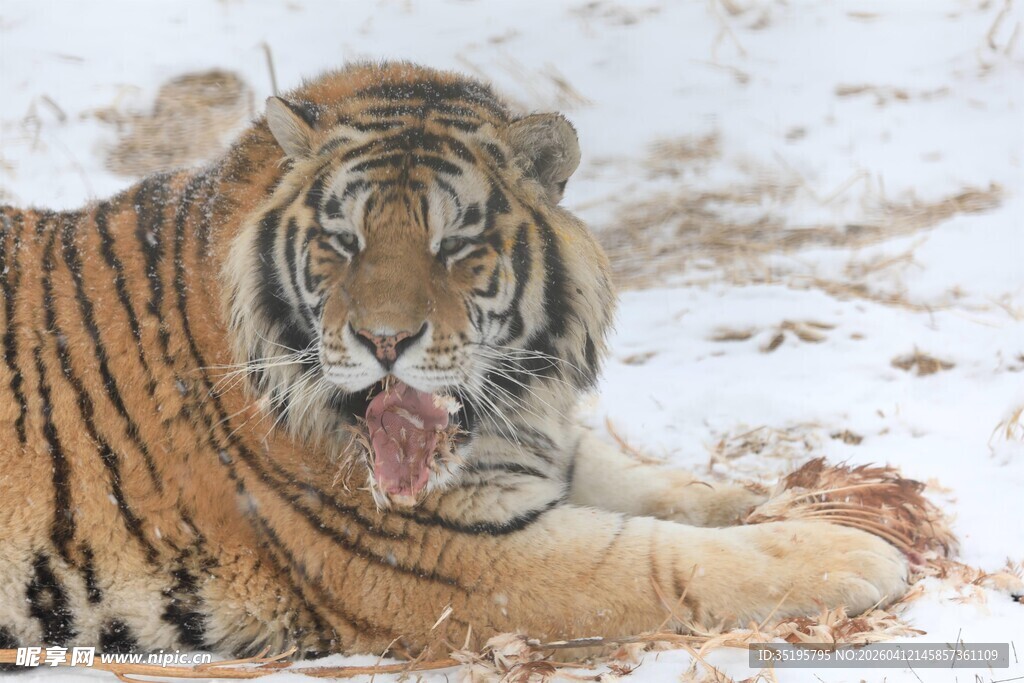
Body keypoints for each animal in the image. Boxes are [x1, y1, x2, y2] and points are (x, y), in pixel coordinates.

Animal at [0, 62, 908, 660]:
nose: (385, 342)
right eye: (343, 241)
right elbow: (667, 558)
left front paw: (785, 498)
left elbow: (663, 486)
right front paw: (858, 553)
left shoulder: (536, 446)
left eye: (454, 245)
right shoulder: (461, 557)